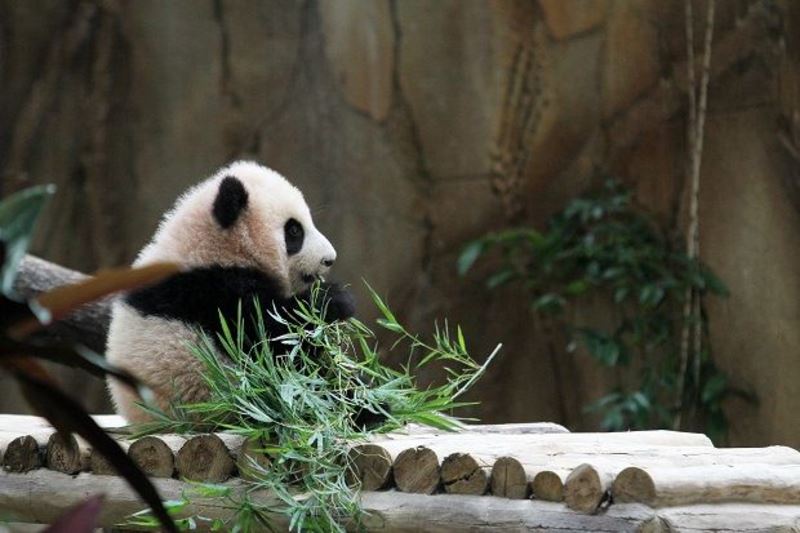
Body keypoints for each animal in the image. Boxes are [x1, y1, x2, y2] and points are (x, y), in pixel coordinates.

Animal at [106, 161, 355, 424]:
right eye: (295, 231)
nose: (329, 259)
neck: (211, 247)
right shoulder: (210, 291)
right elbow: (270, 333)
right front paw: (334, 300)